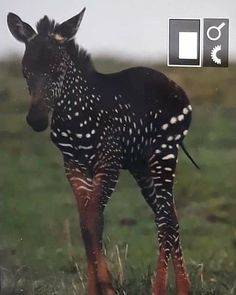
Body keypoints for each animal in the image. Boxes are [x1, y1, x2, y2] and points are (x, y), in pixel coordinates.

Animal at [7, 8, 195, 295]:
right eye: (25, 69)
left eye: (58, 69)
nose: (36, 120)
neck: (75, 115)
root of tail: (172, 83)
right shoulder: (73, 165)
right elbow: (86, 224)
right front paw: (93, 288)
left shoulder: (108, 163)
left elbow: (95, 220)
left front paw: (107, 287)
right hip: (141, 166)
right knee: (169, 216)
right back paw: (183, 288)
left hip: (164, 153)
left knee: (165, 219)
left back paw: (161, 289)